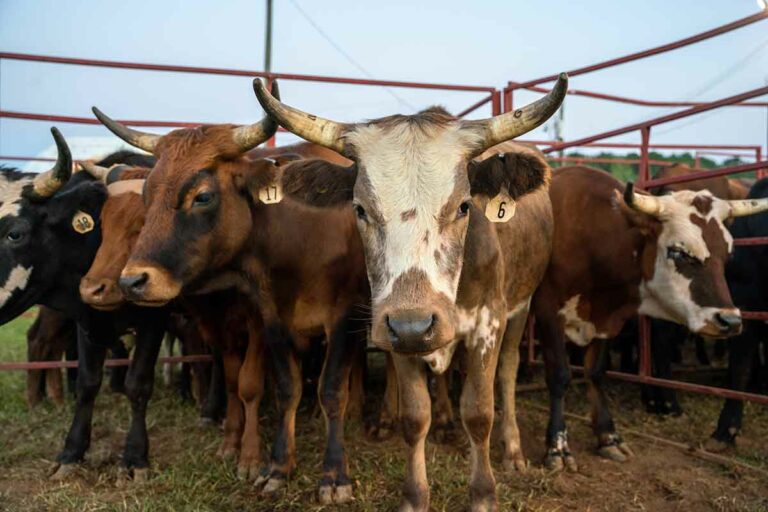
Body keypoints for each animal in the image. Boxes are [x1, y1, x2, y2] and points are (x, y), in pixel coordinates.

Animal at [254, 73, 568, 512]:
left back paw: (511, 449)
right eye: (360, 209)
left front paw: (483, 494)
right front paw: (415, 495)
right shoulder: (397, 328)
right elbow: (415, 416)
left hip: (520, 309)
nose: (416, 325)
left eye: (464, 206)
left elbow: (479, 412)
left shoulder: (487, 325)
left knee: (507, 374)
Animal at [532, 165, 768, 472]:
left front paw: (608, 436)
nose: (730, 321)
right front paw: (557, 446)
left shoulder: (605, 321)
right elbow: (560, 376)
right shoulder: (548, 312)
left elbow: (595, 373)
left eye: (727, 254)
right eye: (678, 251)